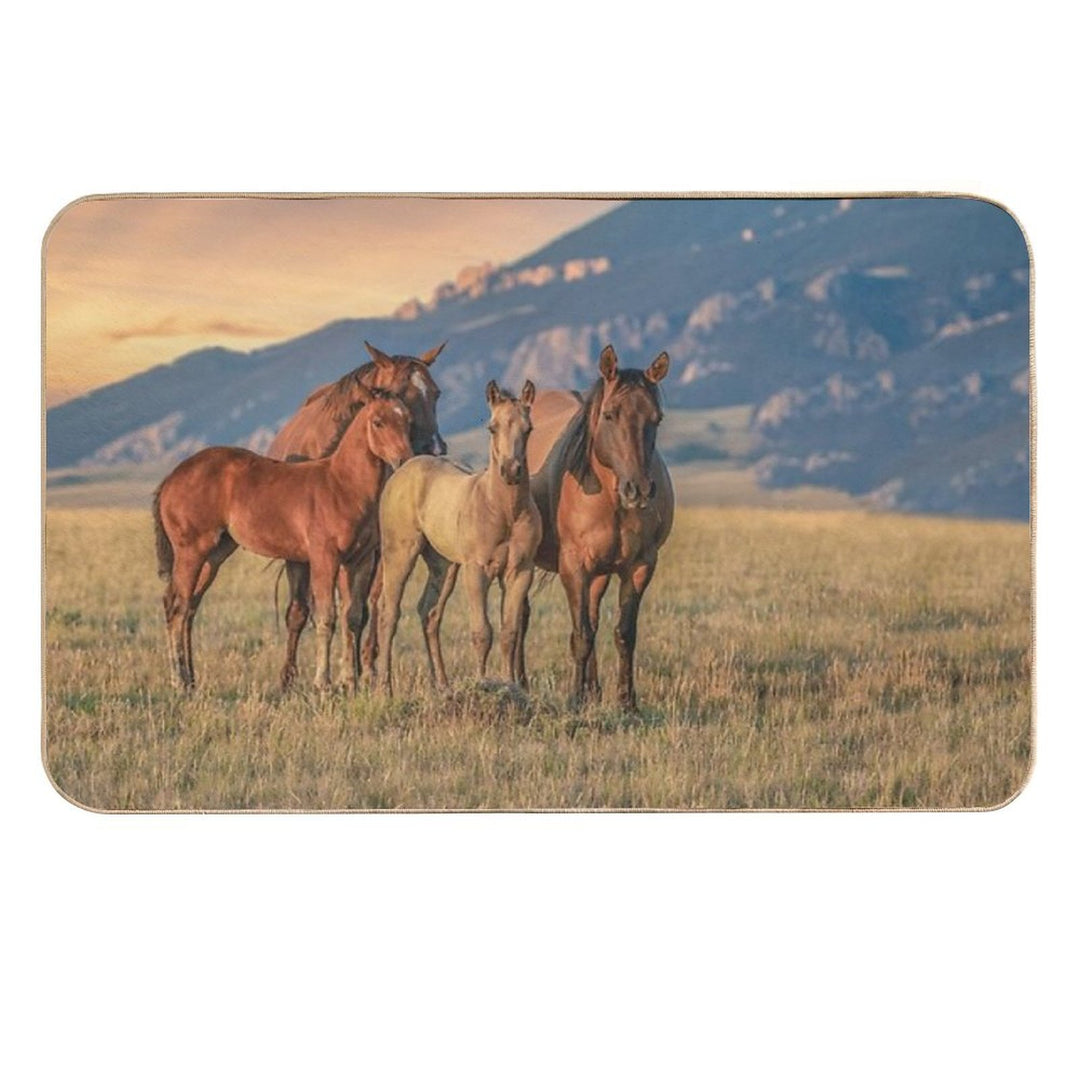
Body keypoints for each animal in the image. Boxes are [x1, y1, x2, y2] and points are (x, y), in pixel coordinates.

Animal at [152, 386, 414, 691]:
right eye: (378, 422)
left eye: (407, 420)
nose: (405, 460)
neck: (341, 485)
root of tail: (171, 478)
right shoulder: (324, 558)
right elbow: (326, 617)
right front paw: (323, 684)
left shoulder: (359, 561)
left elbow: (353, 617)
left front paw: (351, 683)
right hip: (190, 551)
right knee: (178, 607)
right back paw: (179, 680)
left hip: (214, 555)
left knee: (186, 605)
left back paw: (191, 680)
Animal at [375, 380, 541, 696]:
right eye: (492, 427)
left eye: (529, 429)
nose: (511, 471)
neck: (503, 510)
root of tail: (404, 468)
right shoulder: (477, 570)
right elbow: (482, 633)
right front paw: (483, 683)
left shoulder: (520, 572)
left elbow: (509, 633)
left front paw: (511, 685)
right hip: (400, 554)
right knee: (389, 613)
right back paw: (385, 687)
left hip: (444, 566)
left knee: (429, 613)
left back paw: (442, 684)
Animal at [525, 345, 673, 711]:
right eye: (609, 415)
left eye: (657, 419)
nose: (638, 489)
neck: (610, 500)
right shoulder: (574, 566)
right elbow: (581, 635)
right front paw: (575, 701)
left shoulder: (640, 566)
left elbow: (623, 633)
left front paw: (627, 702)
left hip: (601, 573)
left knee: (592, 616)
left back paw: (594, 689)